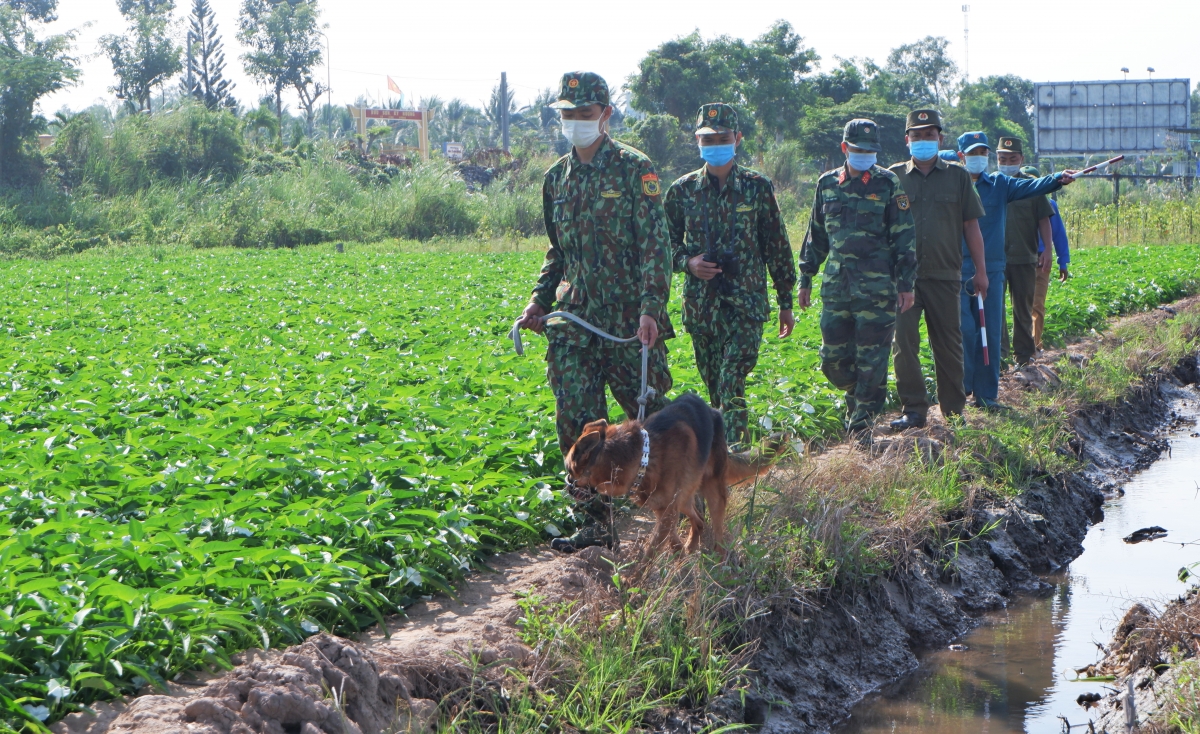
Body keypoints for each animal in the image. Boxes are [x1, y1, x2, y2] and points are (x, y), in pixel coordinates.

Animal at [564, 395, 758, 556]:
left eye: (569, 471)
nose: (567, 488)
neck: (643, 458)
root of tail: (714, 411)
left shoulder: (668, 511)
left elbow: (650, 552)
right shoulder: (662, 509)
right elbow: (670, 538)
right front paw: (679, 556)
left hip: (712, 491)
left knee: (717, 530)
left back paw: (720, 559)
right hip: (685, 497)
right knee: (699, 520)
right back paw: (691, 547)